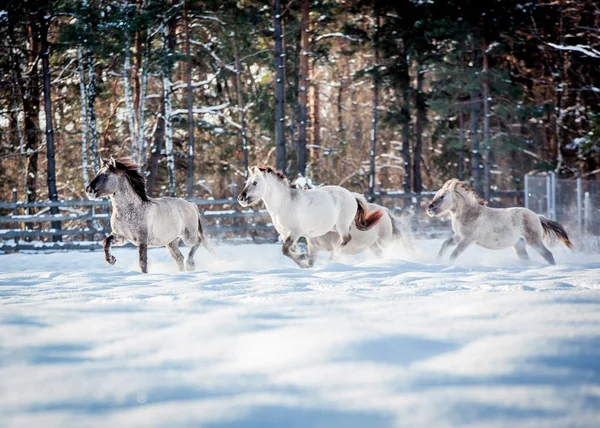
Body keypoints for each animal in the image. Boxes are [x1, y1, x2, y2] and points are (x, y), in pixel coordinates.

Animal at [85, 158, 213, 274]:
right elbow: (105, 241)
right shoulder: (120, 237)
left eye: (106, 174)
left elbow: (142, 263)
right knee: (179, 258)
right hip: (171, 242)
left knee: (197, 242)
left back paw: (190, 264)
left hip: (188, 236)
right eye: (98, 172)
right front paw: (111, 260)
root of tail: (192, 205)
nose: (88, 190)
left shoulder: (142, 240)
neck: (129, 211)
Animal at [237, 166, 382, 268]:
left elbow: (285, 250)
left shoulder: (295, 232)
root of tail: (352, 195)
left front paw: (303, 261)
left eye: (255, 183)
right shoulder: (284, 234)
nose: (241, 198)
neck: (283, 203)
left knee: (346, 239)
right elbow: (289, 250)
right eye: (247, 182)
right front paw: (304, 257)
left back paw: (332, 256)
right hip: (334, 227)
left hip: (342, 225)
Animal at [424, 178, 576, 264]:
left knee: (548, 254)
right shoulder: (458, 236)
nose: (429, 209)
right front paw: (437, 261)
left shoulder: (468, 239)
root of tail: (537, 217)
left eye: (442, 196)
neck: (470, 214)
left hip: (534, 241)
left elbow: (455, 253)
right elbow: (445, 244)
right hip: (519, 245)